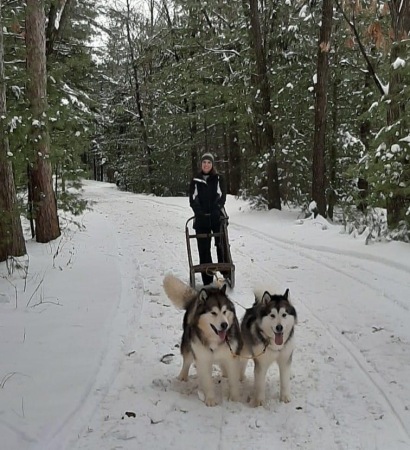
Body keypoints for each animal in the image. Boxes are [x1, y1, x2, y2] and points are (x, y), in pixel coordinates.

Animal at [162, 274, 242, 408]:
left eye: (224, 311)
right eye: (213, 313)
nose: (224, 325)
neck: (214, 340)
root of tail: (196, 298)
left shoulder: (231, 357)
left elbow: (233, 380)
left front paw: (234, 399)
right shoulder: (203, 359)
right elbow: (207, 382)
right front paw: (210, 399)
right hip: (188, 343)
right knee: (187, 360)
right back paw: (182, 376)